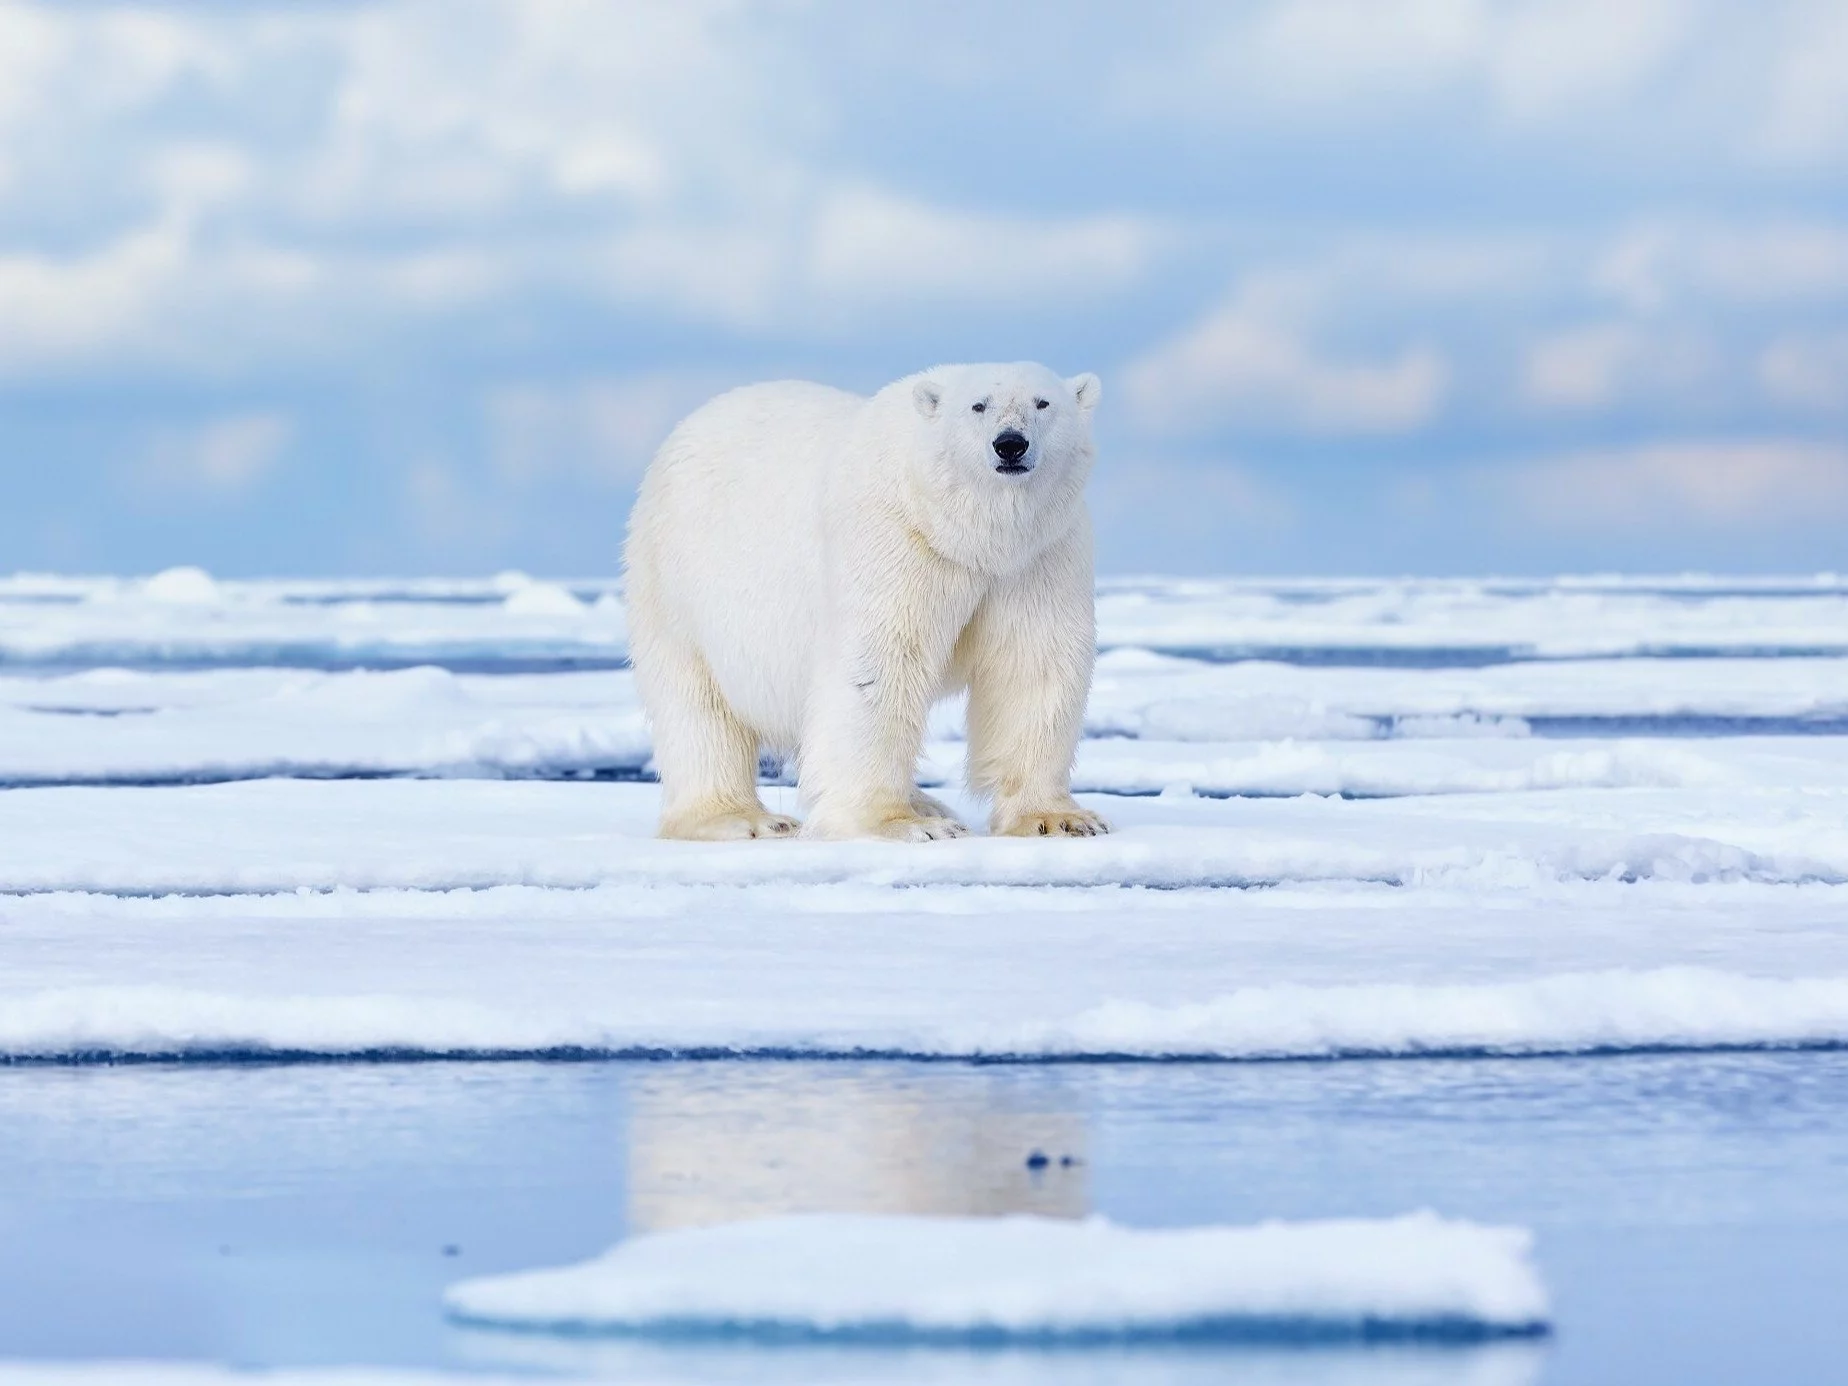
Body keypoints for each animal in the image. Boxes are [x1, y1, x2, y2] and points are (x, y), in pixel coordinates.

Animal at [628, 364, 1101, 842]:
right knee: (697, 705)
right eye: (978, 405)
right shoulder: (894, 536)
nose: (1010, 443)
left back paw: (927, 801)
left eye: (1043, 403)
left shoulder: (1039, 556)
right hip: (677, 581)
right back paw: (748, 818)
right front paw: (902, 824)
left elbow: (1034, 663)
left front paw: (1060, 819)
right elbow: (879, 667)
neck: (968, 534)